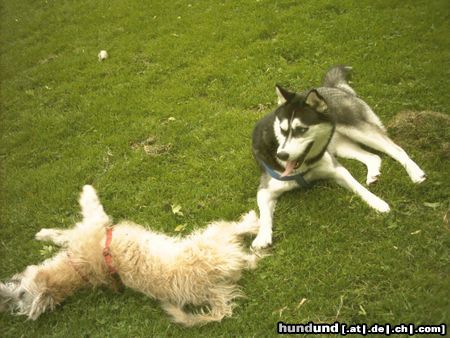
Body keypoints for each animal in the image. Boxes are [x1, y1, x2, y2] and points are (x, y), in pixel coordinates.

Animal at [0, 186, 260, 326]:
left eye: (21, 294)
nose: (5, 301)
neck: (79, 270)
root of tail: (212, 289)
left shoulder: (89, 231)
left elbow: (64, 234)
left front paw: (44, 234)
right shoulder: (96, 223)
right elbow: (86, 210)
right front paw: (87, 190)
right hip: (211, 237)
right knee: (239, 234)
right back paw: (251, 222)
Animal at [251, 65, 428, 248]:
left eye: (302, 129)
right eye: (282, 129)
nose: (282, 154)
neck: (304, 167)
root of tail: (333, 88)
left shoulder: (337, 170)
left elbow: (358, 187)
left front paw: (377, 202)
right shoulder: (265, 189)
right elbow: (263, 214)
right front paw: (262, 236)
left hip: (358, 130)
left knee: (396, 149)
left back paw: (415, 173)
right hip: (340, 146)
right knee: (373, 157)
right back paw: (373, 175)